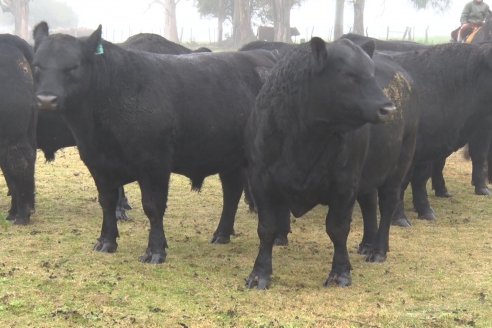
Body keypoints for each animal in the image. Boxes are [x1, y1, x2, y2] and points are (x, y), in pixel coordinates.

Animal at [31, 22, 276, 264]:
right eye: (37, 65)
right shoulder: (97, 163)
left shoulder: (154, 164)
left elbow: (153, 207)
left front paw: (156, 251)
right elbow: (107, 202)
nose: (46, 100)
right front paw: (106, 241)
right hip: (228, 158)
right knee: (232, 191)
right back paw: (221, 234)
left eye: (73, 66)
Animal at [244, 37, 418, 288]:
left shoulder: (344, 185)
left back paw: (378, 250)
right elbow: (267, 228)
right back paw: (367, 244)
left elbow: (337, 229)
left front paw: (340, 273)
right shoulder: (261, 180)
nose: (388, 108)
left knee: (388, 205)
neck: (304, 137)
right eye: (348, 74)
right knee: (369, 204)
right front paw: (259, 274)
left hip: (398, 167)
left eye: (372, 74)